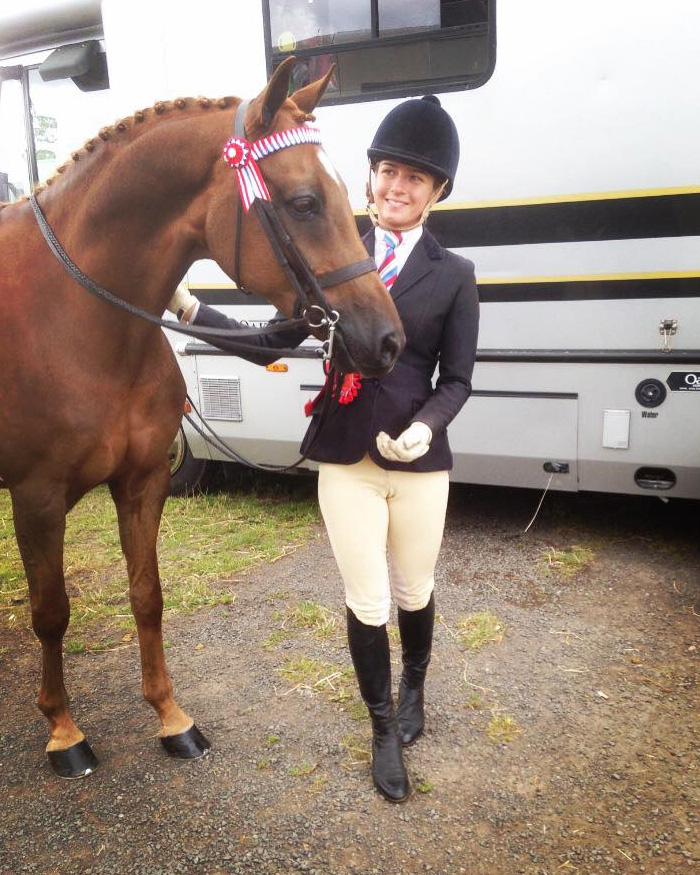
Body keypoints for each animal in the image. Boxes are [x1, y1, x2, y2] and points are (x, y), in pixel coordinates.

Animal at [0, 57, 404, 779]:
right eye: (304, 202)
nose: (386, 340)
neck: (76, 316)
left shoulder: (141, 481)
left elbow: (147, 594)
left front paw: (171, 717)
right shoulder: (37, 496)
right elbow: (51, 612)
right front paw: (64, 731)